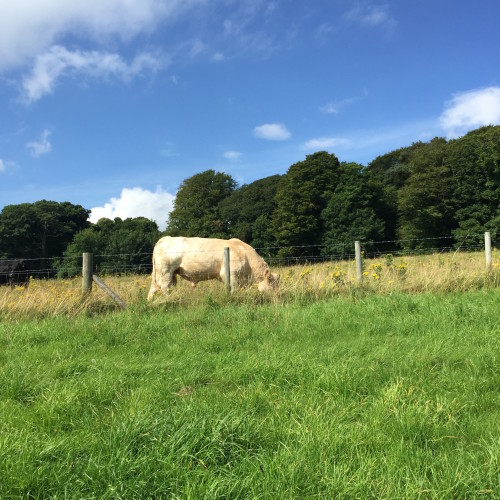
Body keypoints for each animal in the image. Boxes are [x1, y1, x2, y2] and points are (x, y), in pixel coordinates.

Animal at [146, 236, 280, 298]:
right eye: (272, 284)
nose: (278, 297)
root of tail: (164, 238)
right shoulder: (230, 274)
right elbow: (233, 290)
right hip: (165, 272)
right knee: (164, 288)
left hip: (165, 273)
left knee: (154, 288)